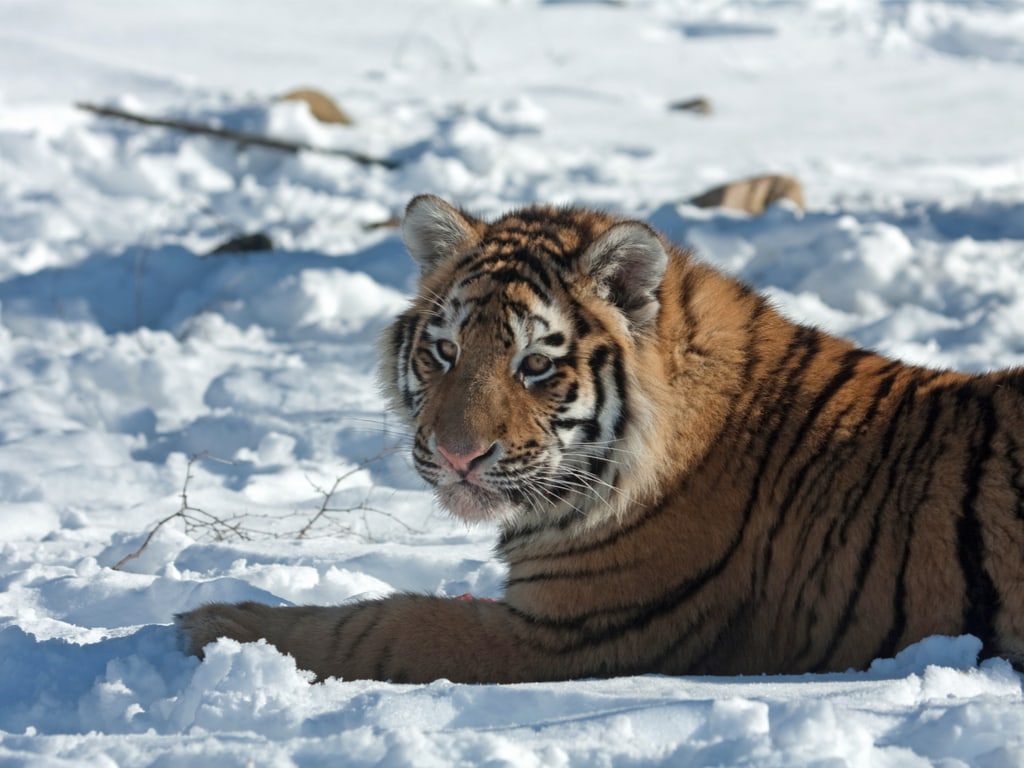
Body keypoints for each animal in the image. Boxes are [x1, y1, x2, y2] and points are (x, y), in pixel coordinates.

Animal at [176, 195, 1024, 684]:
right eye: (444, 351)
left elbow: (376, 626)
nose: (455, 455)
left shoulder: (567, 631)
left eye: (536, 364)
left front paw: (219, 626)